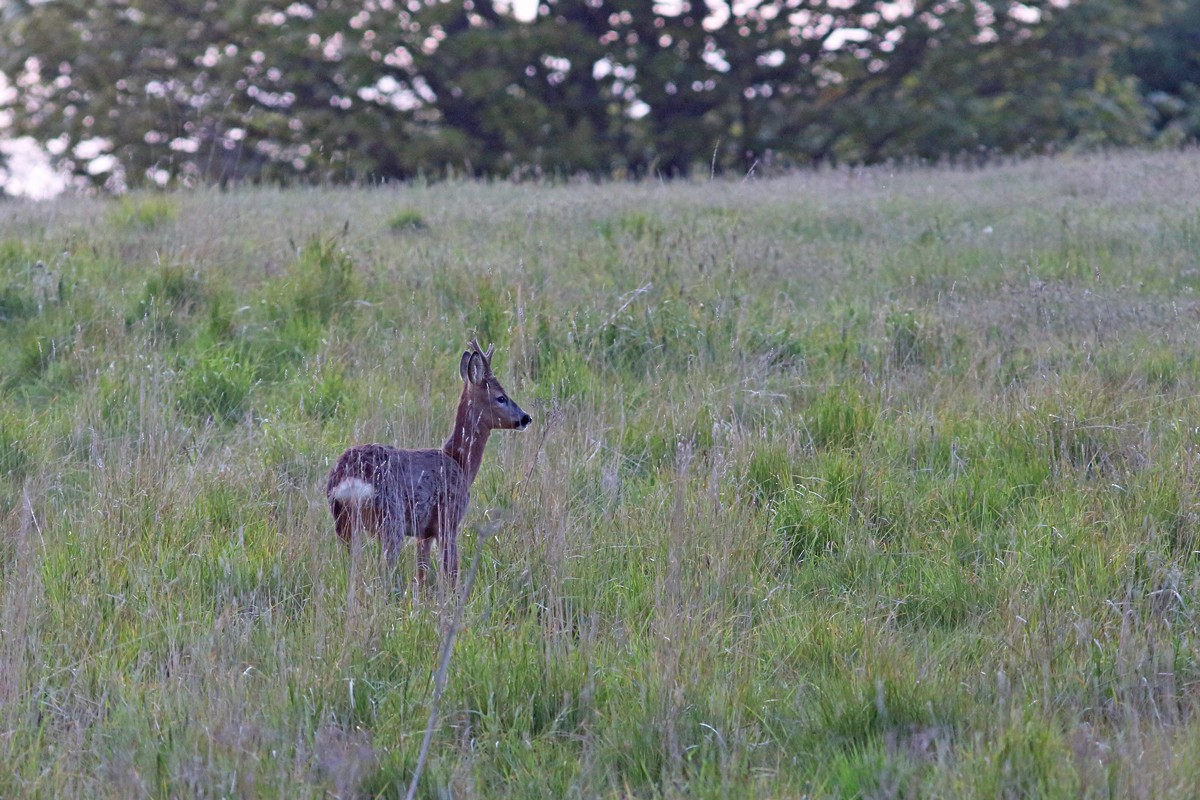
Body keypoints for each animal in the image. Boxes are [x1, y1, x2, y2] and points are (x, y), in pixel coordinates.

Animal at [326, 340, 531, 590]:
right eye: (501, 397)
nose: (526, 418)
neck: (460, 462)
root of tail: (347, 476)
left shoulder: (423, 533)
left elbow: (422, 574)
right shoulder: (448, 520)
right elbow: (451, 571)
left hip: (343, 522)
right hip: (390, 519)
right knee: (384, 569)